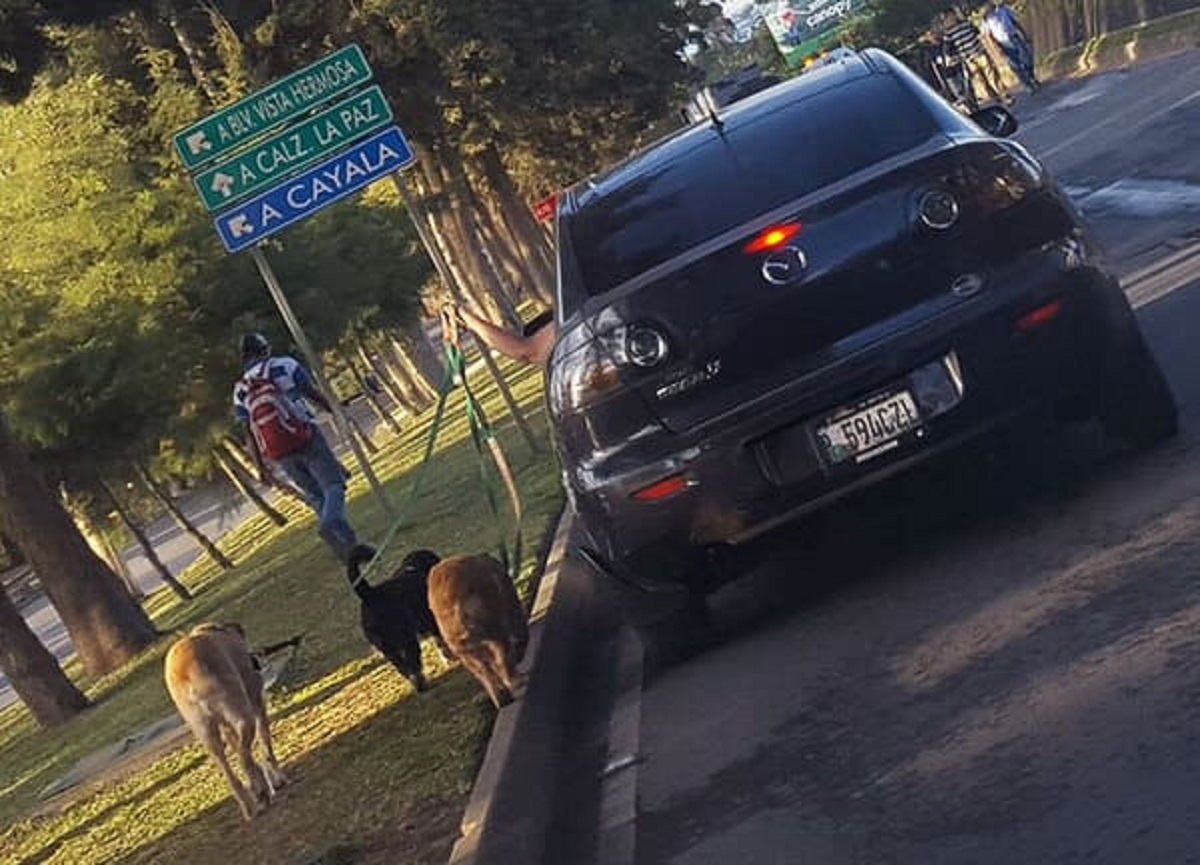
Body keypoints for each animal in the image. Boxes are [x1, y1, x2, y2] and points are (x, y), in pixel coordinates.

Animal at [164, 619, 288, 815]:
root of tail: (187, 674)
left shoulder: (226, 728)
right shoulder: (258, 705)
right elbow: (266, 745)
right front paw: (278, 779)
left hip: (206, 733)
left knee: (231, 773)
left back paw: (250, 803)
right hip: (243, 715)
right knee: (244, 759)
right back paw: (259, 790)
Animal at [345, 542, 451, 691]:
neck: (414, 569)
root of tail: (370, 594)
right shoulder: (431, 621)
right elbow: (441, 641)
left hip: (389, 649)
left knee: (403, 668)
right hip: (407, 640)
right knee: (413, 665)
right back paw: (421, 684)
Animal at [427, 556, 530, 705]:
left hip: (461, 646)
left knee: (483, 670)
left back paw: (501, 699)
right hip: (492, 628)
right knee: (500, 654)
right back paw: (517, 682)